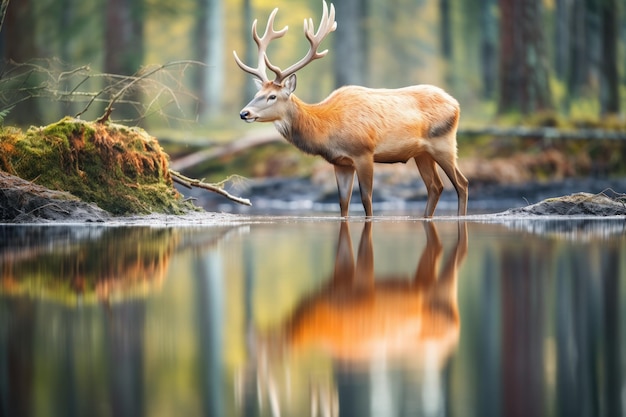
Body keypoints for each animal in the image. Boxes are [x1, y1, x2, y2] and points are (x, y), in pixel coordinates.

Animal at [234, 1, 468, 218]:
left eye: (272, 96)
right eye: (257, 93)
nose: (244, 113)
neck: (327, 128)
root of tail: (456, 103)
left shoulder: (364, 152)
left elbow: (366, 199)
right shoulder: (341, 162)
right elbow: (343, 203)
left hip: (444, 142)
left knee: (461, 183)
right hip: (422, 153)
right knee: (435, 186)